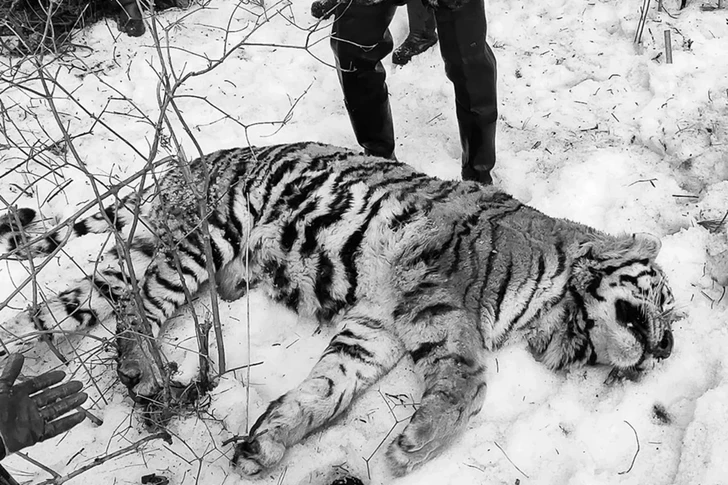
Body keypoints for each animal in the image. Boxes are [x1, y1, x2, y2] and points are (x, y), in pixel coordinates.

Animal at [0, 141, 676, 477]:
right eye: (664, 304)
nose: (666, 349)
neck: (551, 310)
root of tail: (178, 168)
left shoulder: (376, 327)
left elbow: (325, 388)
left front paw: (267, 443)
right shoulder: (445, 300)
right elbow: (468, 385)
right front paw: (412, 448)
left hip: (132, 262)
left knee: (74, 306)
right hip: (209, 235)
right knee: (141, 307)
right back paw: (144, 371)